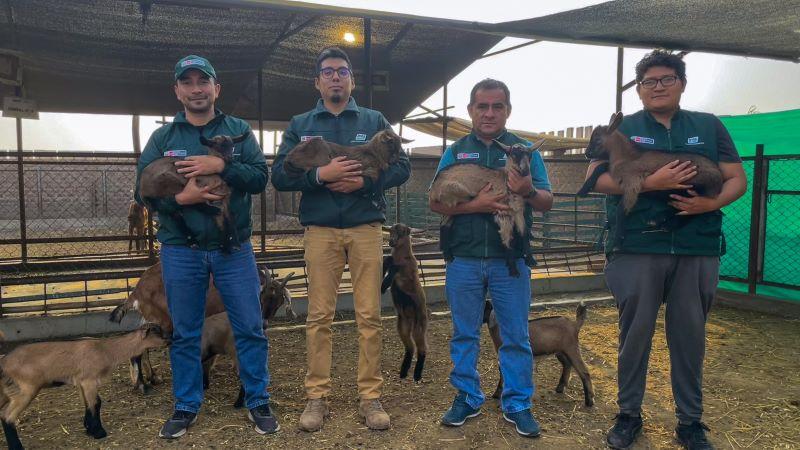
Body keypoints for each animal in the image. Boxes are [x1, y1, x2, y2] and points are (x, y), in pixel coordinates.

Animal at [428, 139, 548, 276]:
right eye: (513, 154)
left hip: (451, 203)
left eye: (530, 155)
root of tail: (433, 188)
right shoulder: (503, 213)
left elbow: (524, 233)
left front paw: (530, 260)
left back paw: (448, 255)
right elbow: (508, 239)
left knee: (445, 223)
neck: (506, 181)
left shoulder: (518, 211)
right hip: (455, 193)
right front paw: (513, 269)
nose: (525, 171)